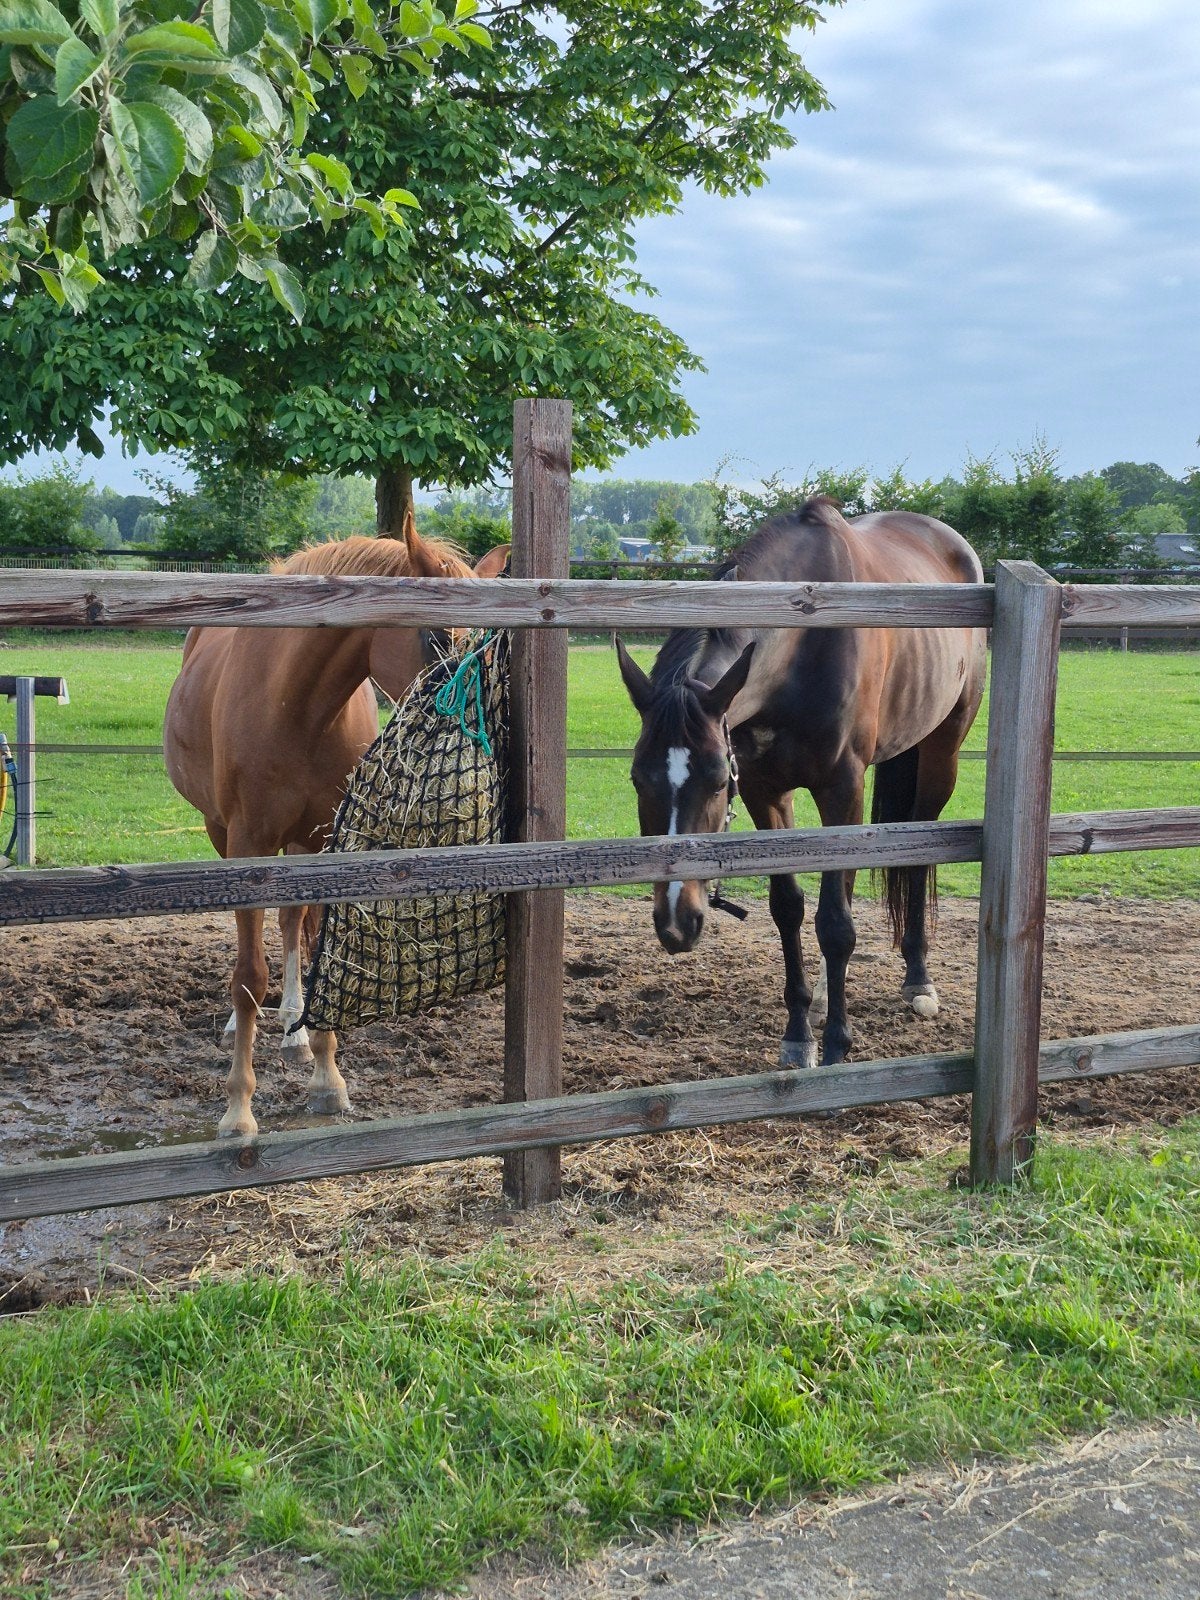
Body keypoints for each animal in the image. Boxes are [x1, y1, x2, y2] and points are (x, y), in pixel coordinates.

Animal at [164, 521, 508, 1138]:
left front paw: (327, 1078)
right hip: (221, 831)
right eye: (436, 636)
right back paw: (244, 1027)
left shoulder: (327, 840)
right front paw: (238, 1109)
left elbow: (319, 951)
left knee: (290, 923)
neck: (296, 706)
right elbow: (248, 976)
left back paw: (295, 1028)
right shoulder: (248, 842)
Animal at [616, 495, 986, 1070]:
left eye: (717, 779)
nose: (678, 922)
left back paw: (918, 979)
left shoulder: (842, 790)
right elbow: (787, 908)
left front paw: (836, 1042)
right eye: (638, 778)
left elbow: (835, 924)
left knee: (915, 856)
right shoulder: (766, 791)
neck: (803, 646)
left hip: (941, 753)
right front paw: (798, 1032)